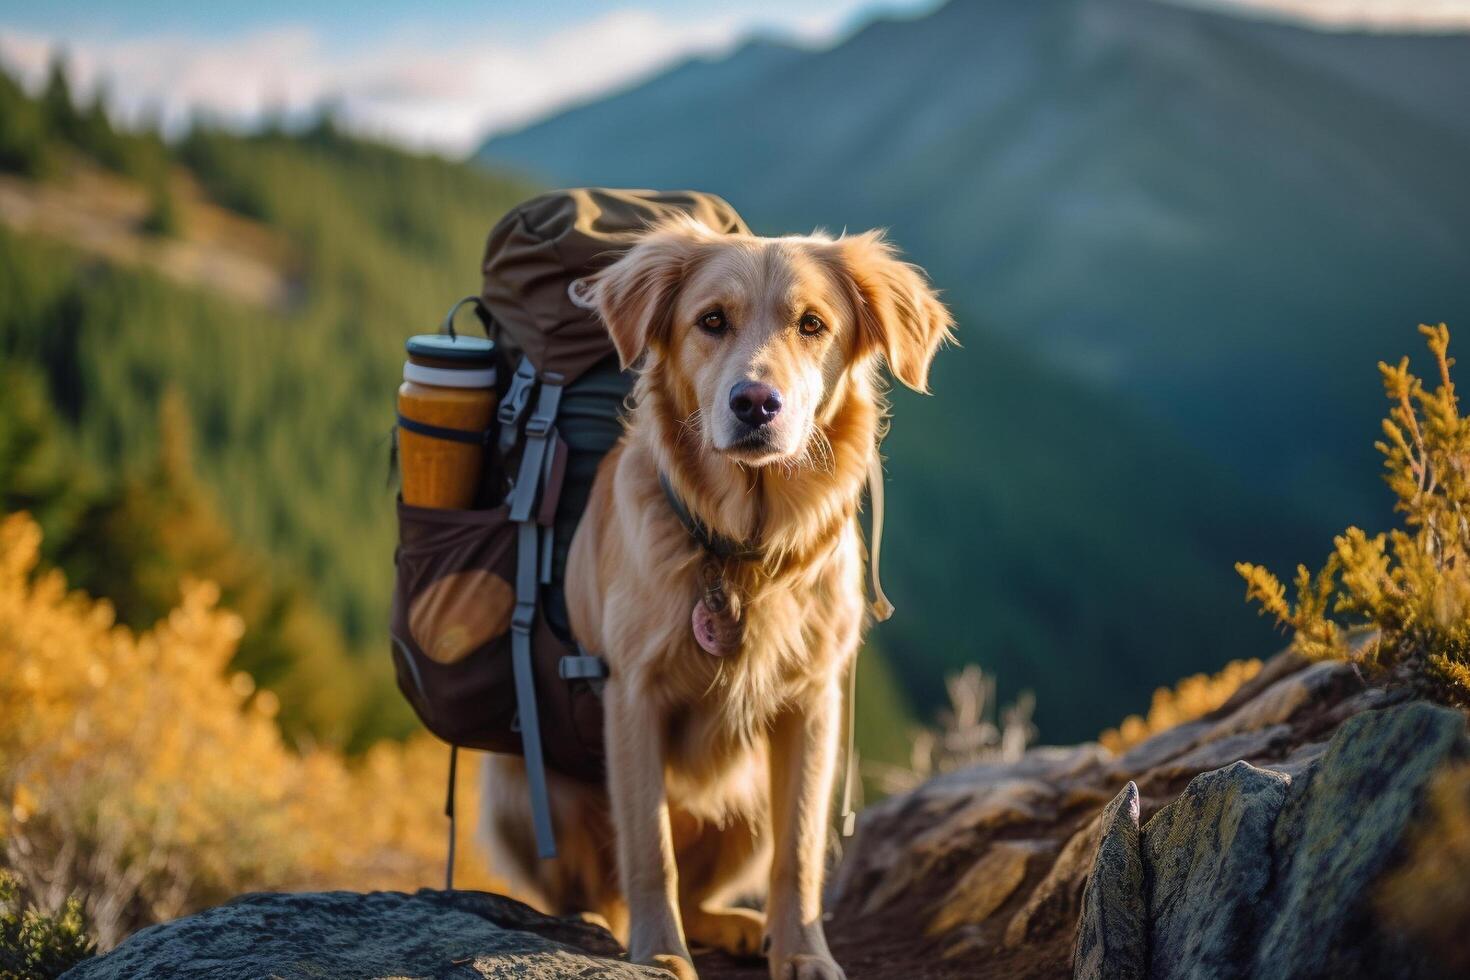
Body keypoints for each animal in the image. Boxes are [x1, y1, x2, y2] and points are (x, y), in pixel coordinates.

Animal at [482, 220, 952, 980]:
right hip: (519, 785)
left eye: (812, 324)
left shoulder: (812, 704)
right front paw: (658, 953)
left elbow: (800, 851)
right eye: (711, 321)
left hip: (746, 796)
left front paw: (803, 951)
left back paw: (735, 926)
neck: (742, 550)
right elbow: (649, 847)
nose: (755, 403)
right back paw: (598, 923)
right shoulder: (632, 696)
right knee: (598, 891)